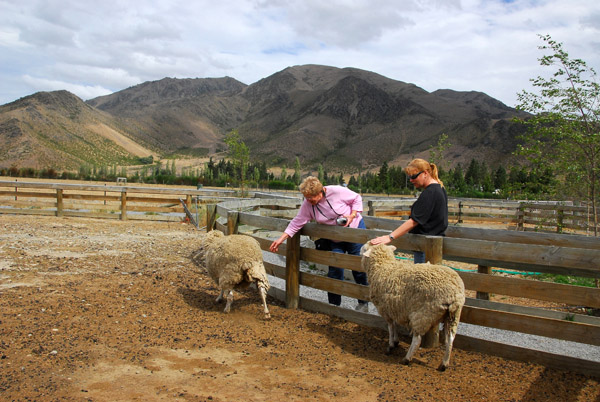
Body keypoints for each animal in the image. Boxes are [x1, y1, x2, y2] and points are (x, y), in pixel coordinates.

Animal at [358, 242, 466, 370]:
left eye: (365, 248)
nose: (359, 250)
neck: (384, 267)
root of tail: (454, 294)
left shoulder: (385, 309)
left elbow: (390, 327)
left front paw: (391, 345)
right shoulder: (394, 308)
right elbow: (395, 325)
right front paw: (396, 341)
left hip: (422, 314)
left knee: (417, 340)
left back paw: (406, 359)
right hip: (453, 315)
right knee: (450, 339)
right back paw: (444, 364)